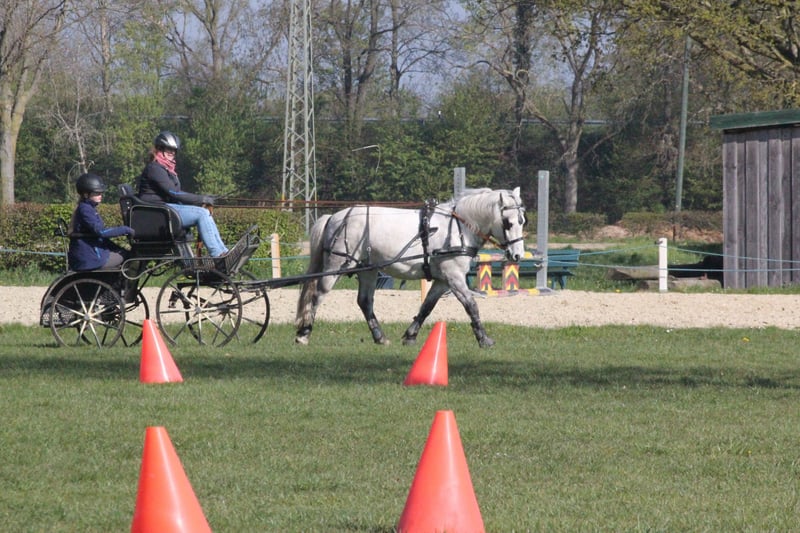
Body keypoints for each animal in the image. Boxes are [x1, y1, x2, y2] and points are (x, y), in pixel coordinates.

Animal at [294, 187, 527, 348]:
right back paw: (303, 334)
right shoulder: (454, 277)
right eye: (508, 222)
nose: (517, 255)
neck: (459, 228)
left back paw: (380, 337)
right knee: (318, 296)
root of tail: (334, 217)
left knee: (365, 302)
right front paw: (484, 338)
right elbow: (471, 306)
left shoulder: (443, 280)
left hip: (368, 270)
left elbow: (427, 306)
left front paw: (410, 335)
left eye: (522, 221)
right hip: (337, 266)